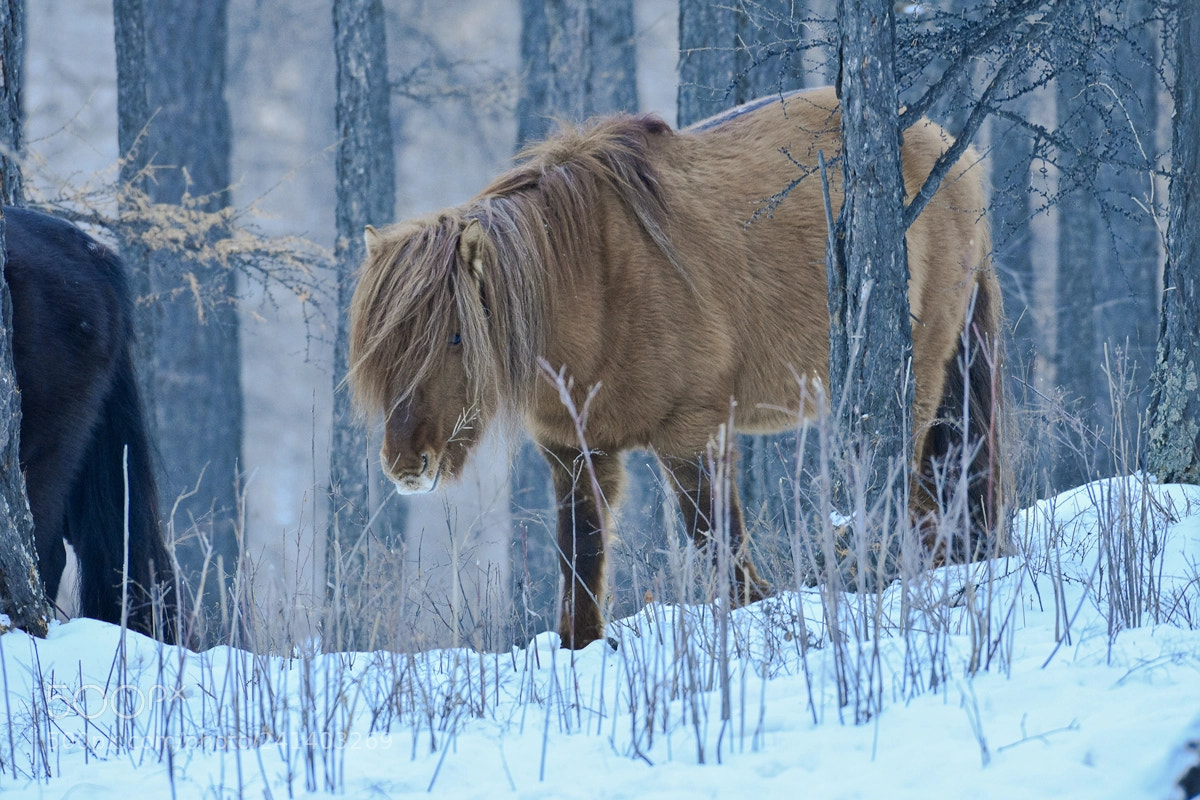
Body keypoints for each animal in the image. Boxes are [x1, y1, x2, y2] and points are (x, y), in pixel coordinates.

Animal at [349, 86, 1006, 649]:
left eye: (456, 336)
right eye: (379, 350)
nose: (406, 463)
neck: (598, 282)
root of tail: (952, 148)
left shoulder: (694, 434)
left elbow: (718, 543)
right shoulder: (576, 453)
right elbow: (581, 555)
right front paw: (582, 647)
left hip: (921, 378)